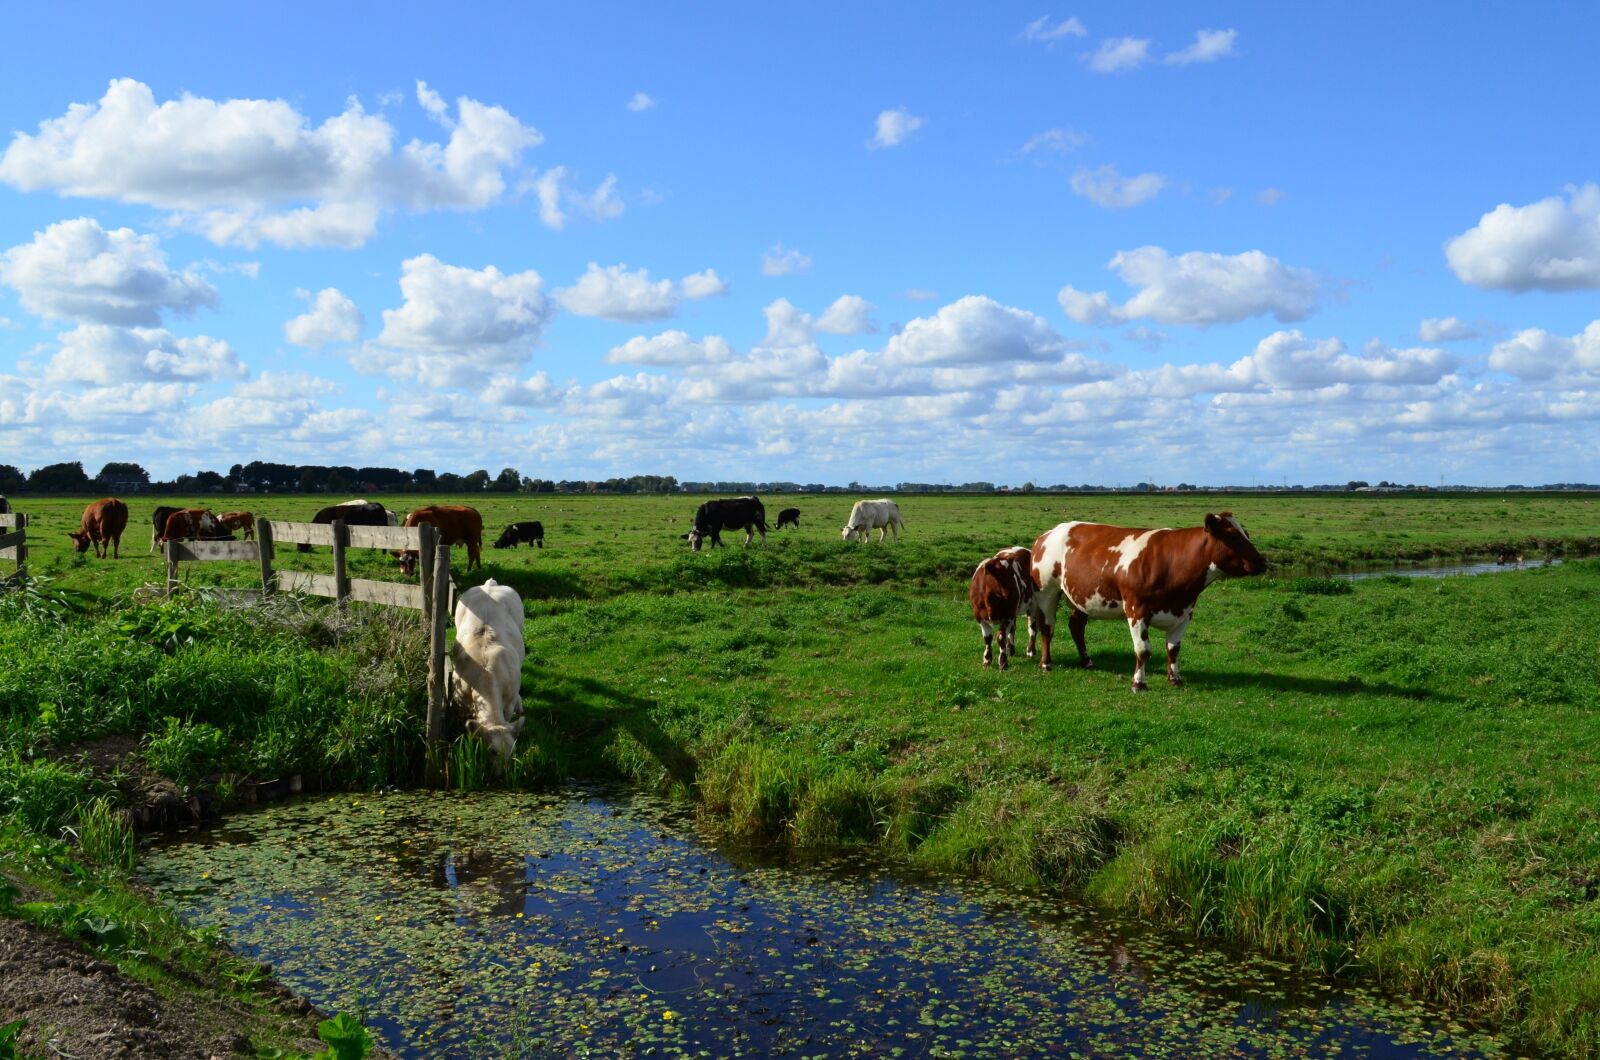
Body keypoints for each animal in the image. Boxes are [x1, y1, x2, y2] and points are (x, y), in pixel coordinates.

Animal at [450, 578, 525, 769]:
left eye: (513, 752)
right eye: (492, 751)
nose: (503, 774)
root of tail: (490, 584)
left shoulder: (508, 702)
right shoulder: (459, 702)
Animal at [1028, 513, 1268, 691]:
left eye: (1246, 534)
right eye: (1233, 537)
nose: (1262, 561)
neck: (1174, 564)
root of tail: (1048, 534)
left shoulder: (1185, 613)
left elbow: (1173, 648)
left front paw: (1175, 679)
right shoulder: (1137, 610)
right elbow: (1143, 649)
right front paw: (1138, 683)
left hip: (1079, 596)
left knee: (1076, 627)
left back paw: (1087, 661)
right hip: (1047, 591)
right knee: (1047, 627)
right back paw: (1046, 663)